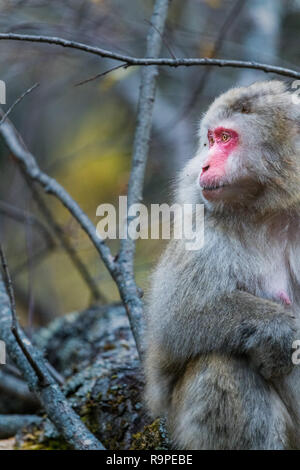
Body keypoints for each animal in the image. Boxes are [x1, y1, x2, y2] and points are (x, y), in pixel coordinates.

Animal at [145, 80, 300, 448]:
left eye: (227, 137)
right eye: (211, 140)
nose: (203, 165)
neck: (270, 209)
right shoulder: (203, 228)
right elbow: (177, 317)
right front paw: (278, 329)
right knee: (222, 361)